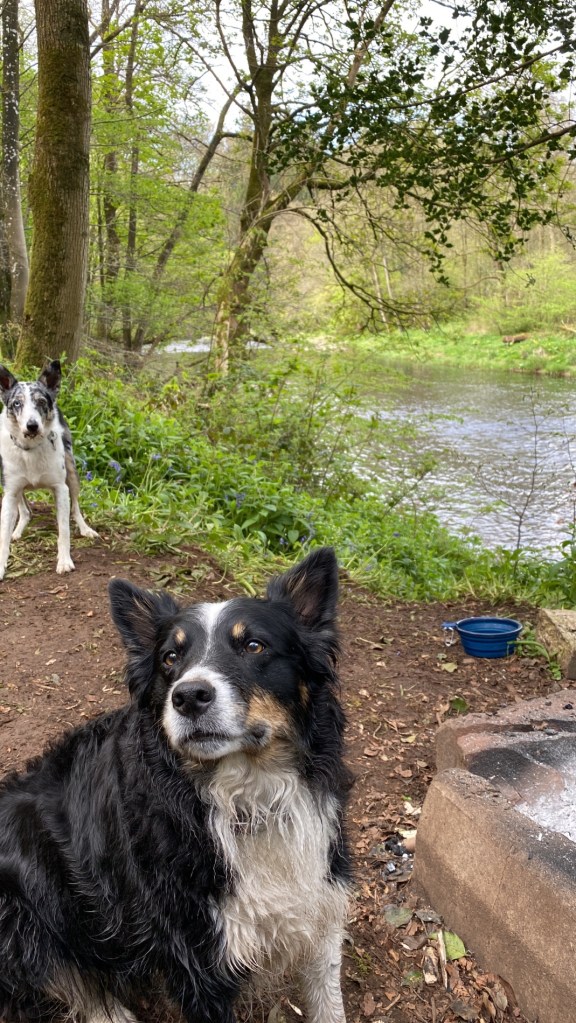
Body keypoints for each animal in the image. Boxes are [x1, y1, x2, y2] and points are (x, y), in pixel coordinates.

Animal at [0, 359, 98, 580]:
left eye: (41, 402)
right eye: (16, 403)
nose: (32, 425)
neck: (30, 449)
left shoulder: (60, 488)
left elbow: (64, 530)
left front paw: (64, 561)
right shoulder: (10, 492)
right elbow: (3, 536)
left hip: (72, 473)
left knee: (76, 508)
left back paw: (85, 529)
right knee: (25, 511)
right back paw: (17, 530)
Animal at [0, 547, 352, 1023]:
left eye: (254, 645)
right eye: (170, 657)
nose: (188, 696)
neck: (249, 799)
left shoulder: (321, 905)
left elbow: (328, 1002)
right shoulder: (197, 960)